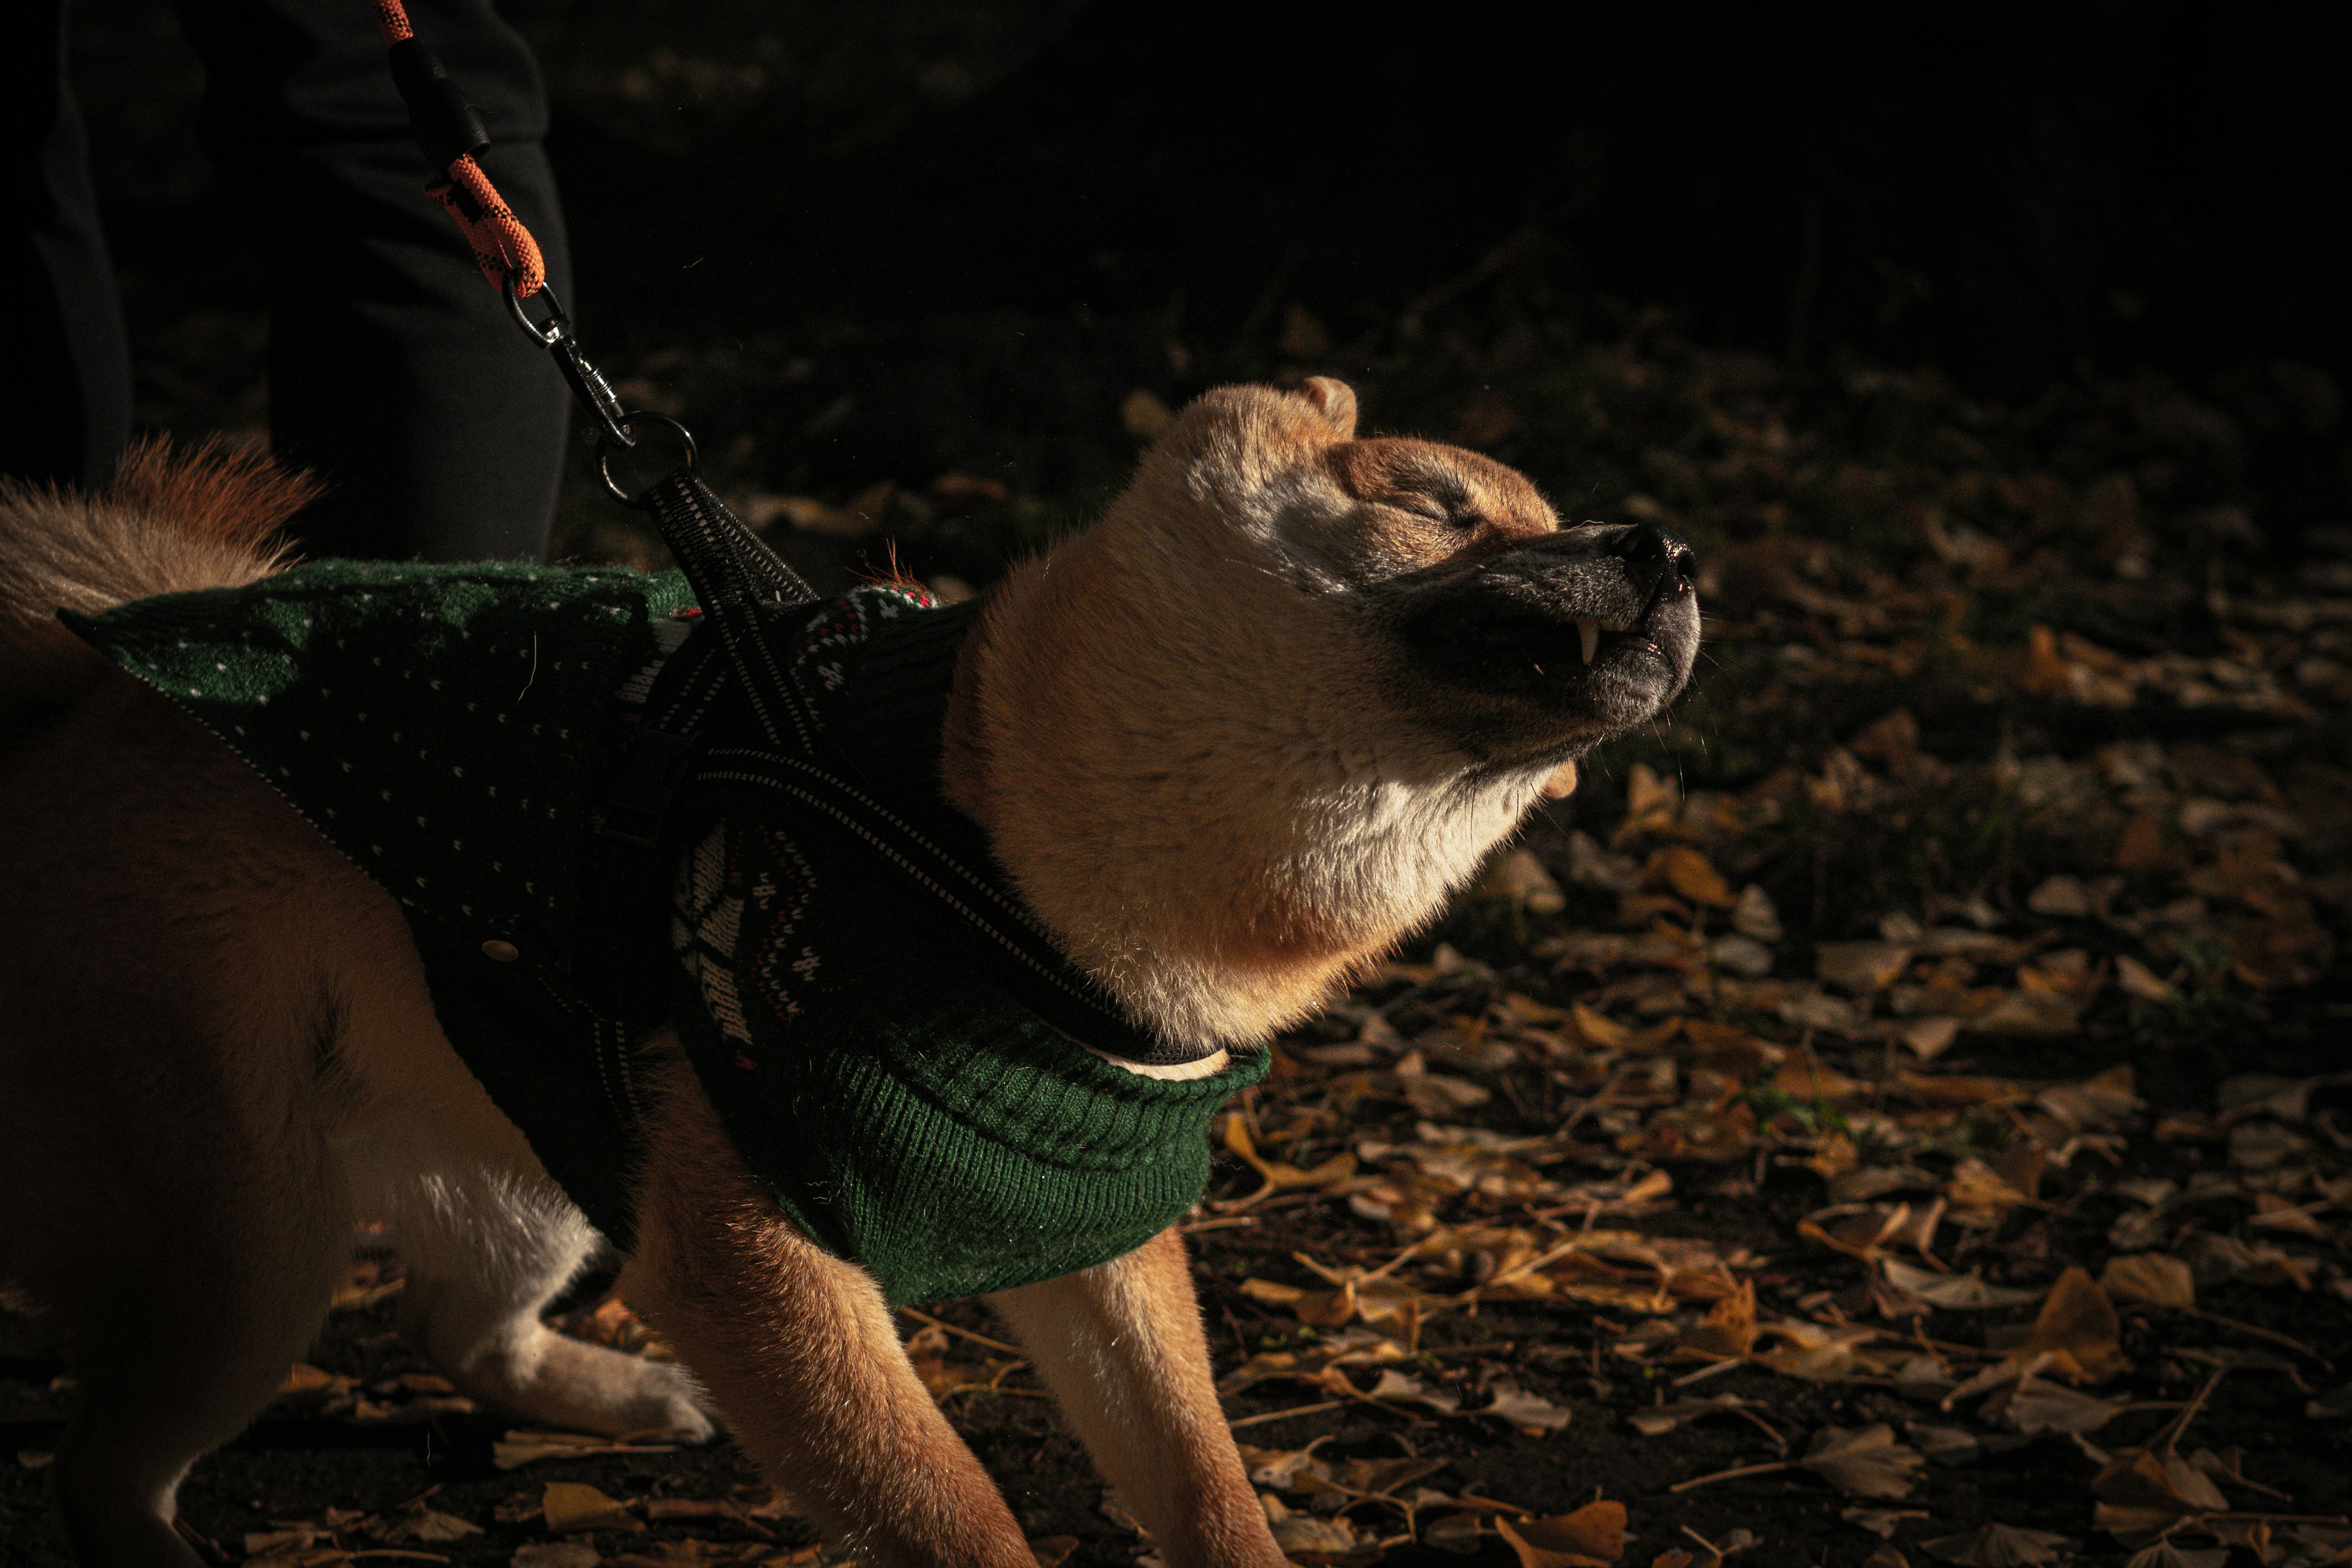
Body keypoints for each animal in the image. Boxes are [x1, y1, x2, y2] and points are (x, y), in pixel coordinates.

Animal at [0, 383, 1703, 1568]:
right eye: (1440, 507)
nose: (1672, 544)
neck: (995, 863)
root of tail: (95, 686)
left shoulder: (1088, 1233)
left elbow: (1204, 1478)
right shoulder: (763, 1254)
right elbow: (956, 1512)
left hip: (552, 1160)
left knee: (451, 1325)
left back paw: (618, 1393)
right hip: (250, 1247)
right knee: (103, 1462)